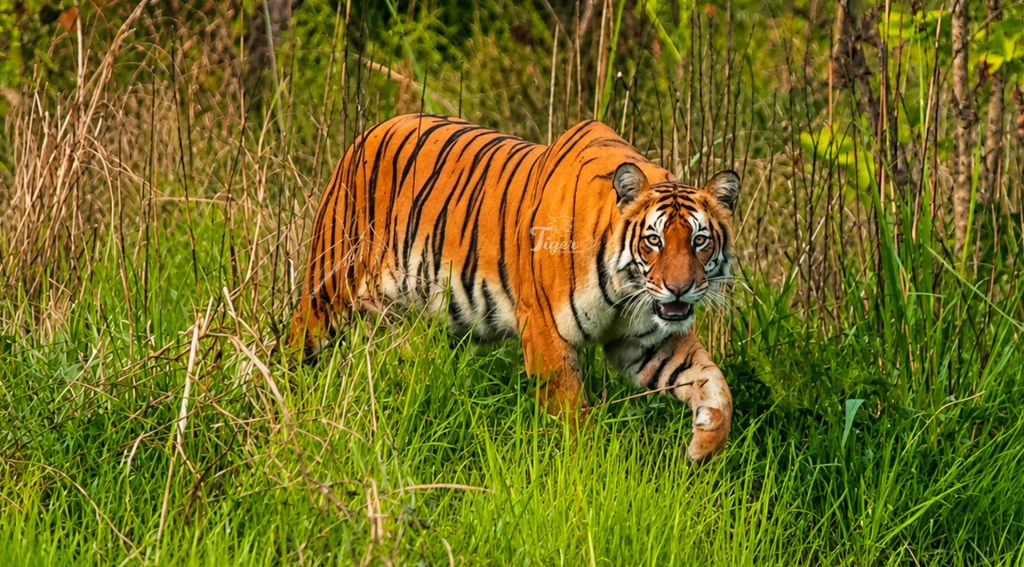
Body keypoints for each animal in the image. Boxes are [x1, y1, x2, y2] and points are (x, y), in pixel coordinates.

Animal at [290, 114, 740, 461]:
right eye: (654, 240)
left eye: (699, 240)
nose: (679, 288)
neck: (626, 288)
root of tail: (367, 131)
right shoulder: (547, 331)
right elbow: (571, 415)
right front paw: (587, 469)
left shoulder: (647, 342)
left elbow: (715, 385)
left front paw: (703, 446)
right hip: (328, 288)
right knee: (299, 342)